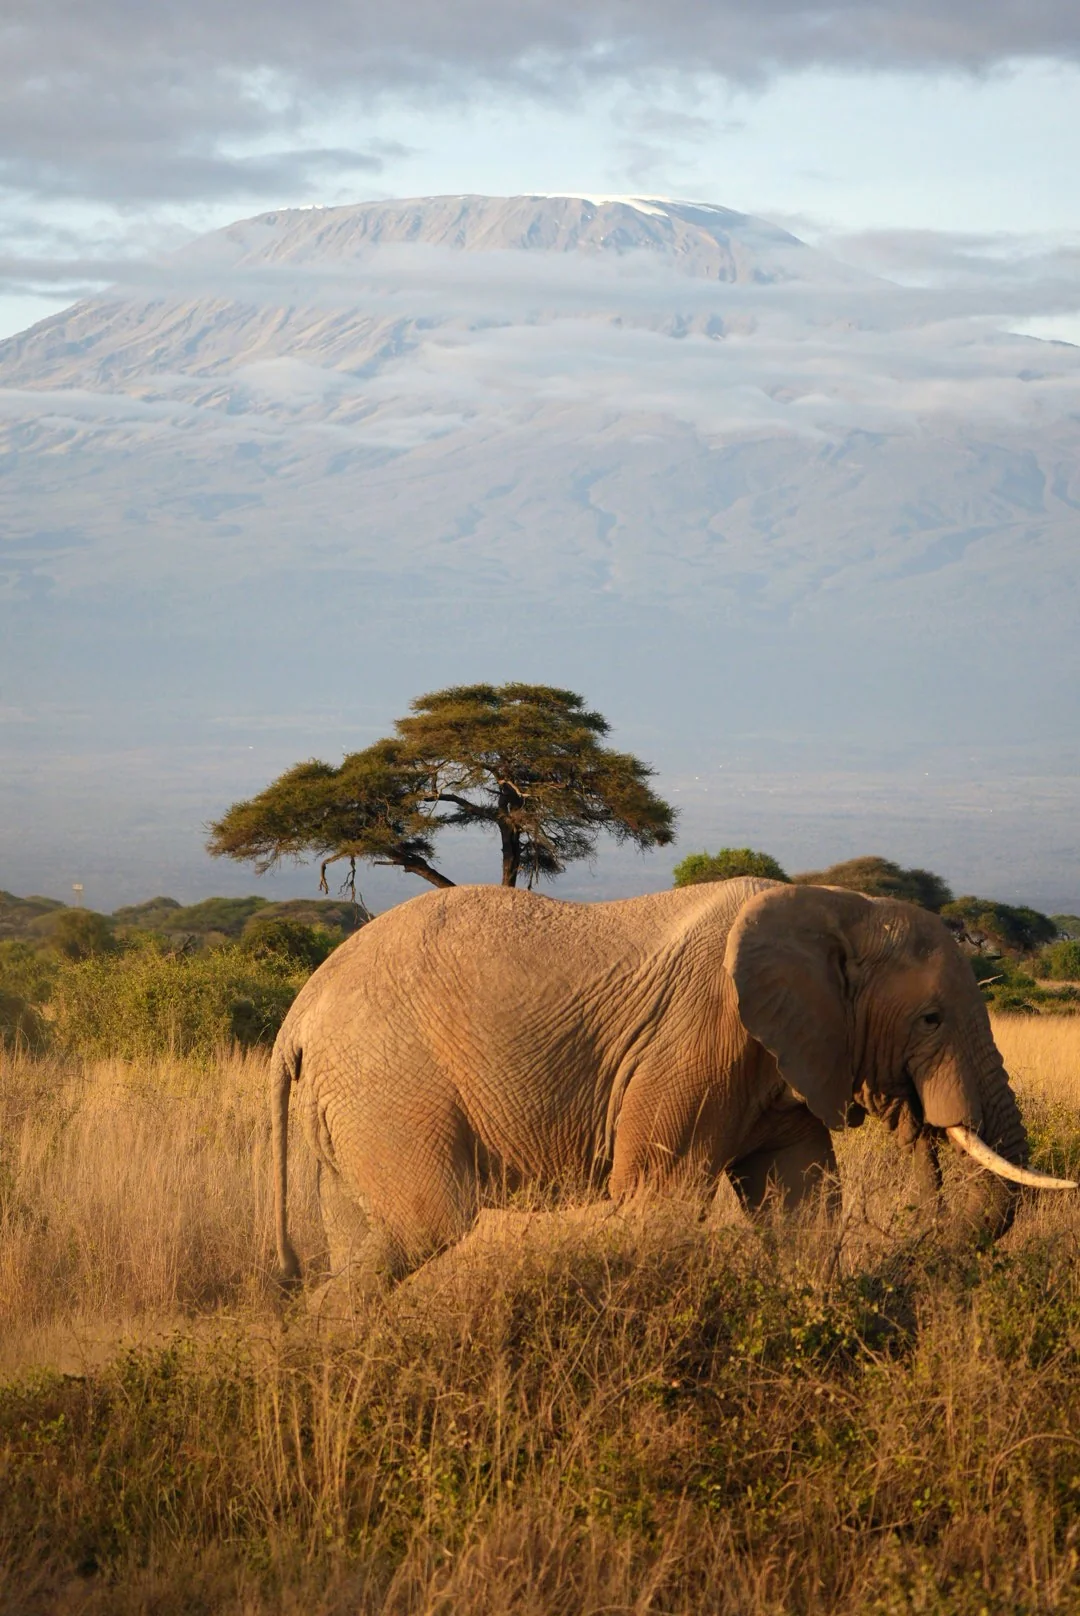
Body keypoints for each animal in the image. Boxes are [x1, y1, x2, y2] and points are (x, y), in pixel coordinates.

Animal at [270, 877, 1074, 1290]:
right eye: (931, 1019)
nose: (917, 1120)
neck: (838, 906)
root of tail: (296, 1018)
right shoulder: (695, 1040)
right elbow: (660, 1203)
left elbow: (802, 1203)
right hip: (388, 1082)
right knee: (425, 1227)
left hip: (351, 1100)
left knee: (365, 1238)